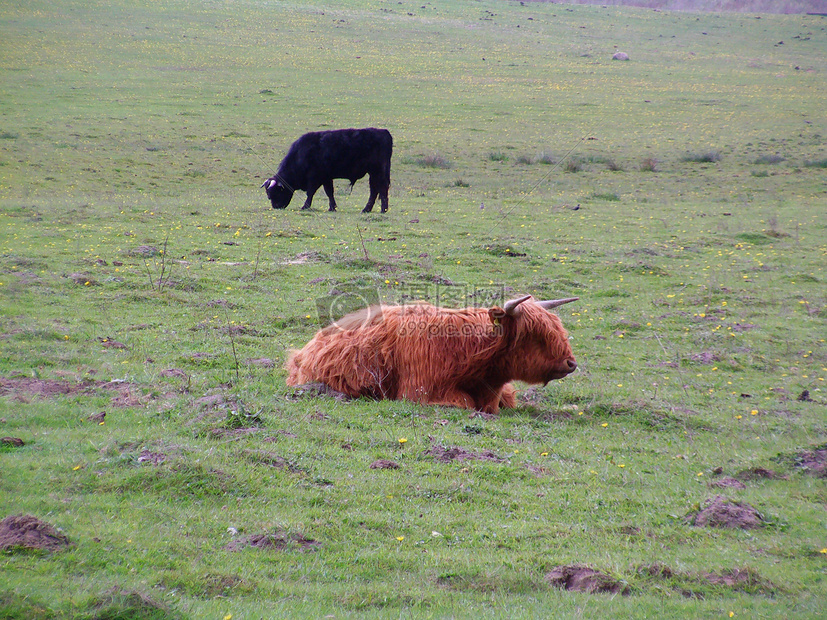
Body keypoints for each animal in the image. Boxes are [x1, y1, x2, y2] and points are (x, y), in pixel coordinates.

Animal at [266, 127, 394, 212]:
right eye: (269, 195)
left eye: (276, 192)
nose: (276, 207)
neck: (301, 154)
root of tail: (383, 131)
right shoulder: (326, 178)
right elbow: (329, 192)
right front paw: (332, 207)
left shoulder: (315, 178)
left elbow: (310, 192)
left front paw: (305, 206)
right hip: (373, 173)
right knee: (374, 189)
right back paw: (367, 209)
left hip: (378, 171)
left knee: (381, 188)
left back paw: (382, 209)